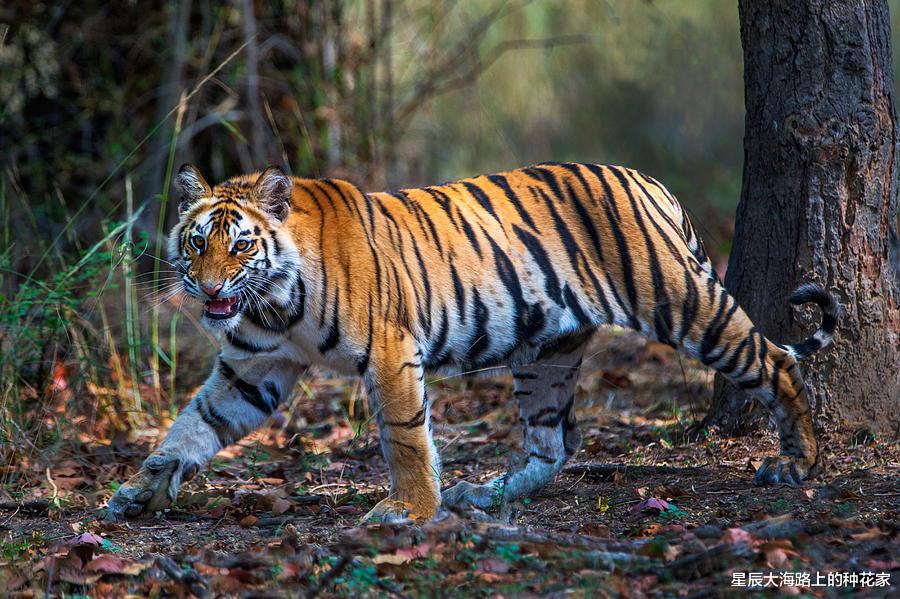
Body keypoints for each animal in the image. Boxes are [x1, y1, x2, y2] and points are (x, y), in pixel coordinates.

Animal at [107, 161, 837, 522]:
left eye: (240, 245)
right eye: (196, 242)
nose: (206, 289)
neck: (278, 302)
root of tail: (650, 181)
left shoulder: (389, 348)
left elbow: (403, 436)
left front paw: (408, 510)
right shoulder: (254, 366)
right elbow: (191, 426)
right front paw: (138, 492)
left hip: (683, 303)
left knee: (774, 361)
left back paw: (797, 463)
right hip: (548, 352)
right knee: (554, 442)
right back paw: (483, 495)